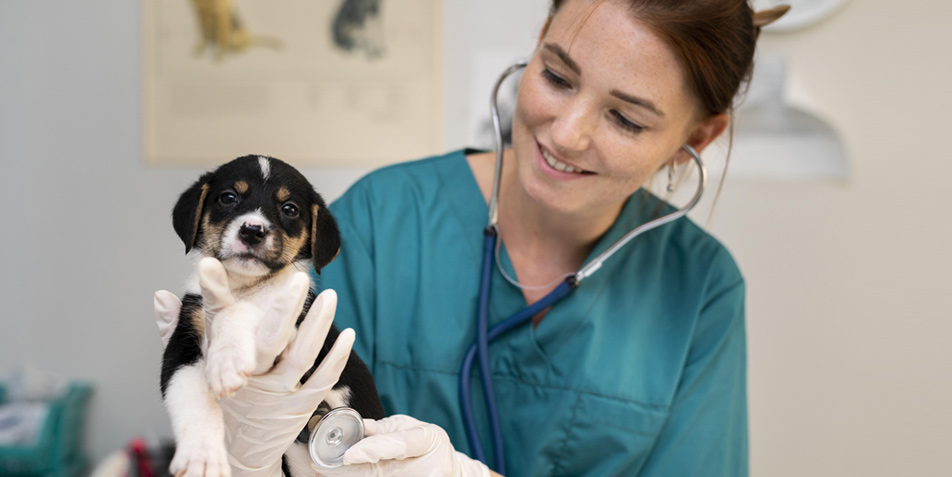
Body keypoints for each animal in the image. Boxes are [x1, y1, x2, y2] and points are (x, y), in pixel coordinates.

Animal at [162, 154, 384, 474]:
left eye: (289, 209)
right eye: (228, 197)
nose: (252, 230)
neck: (243, 286)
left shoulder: (300, 331)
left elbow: (246, 309)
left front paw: (228, 359)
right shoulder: (184, 344)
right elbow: (192, 401)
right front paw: (200, 457)